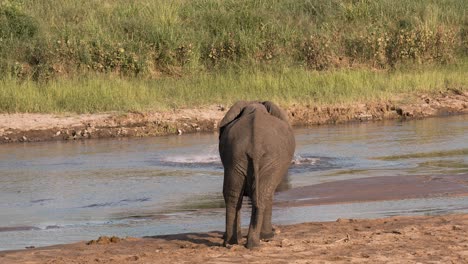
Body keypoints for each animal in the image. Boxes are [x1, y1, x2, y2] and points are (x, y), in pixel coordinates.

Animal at [218, 100, 294, 249]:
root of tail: (255, 145)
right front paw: (269, 236)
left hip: (235, 155)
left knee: (233, 194)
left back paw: (231, 242)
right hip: (270, 160)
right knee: (263, 195)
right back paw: (261, 239)